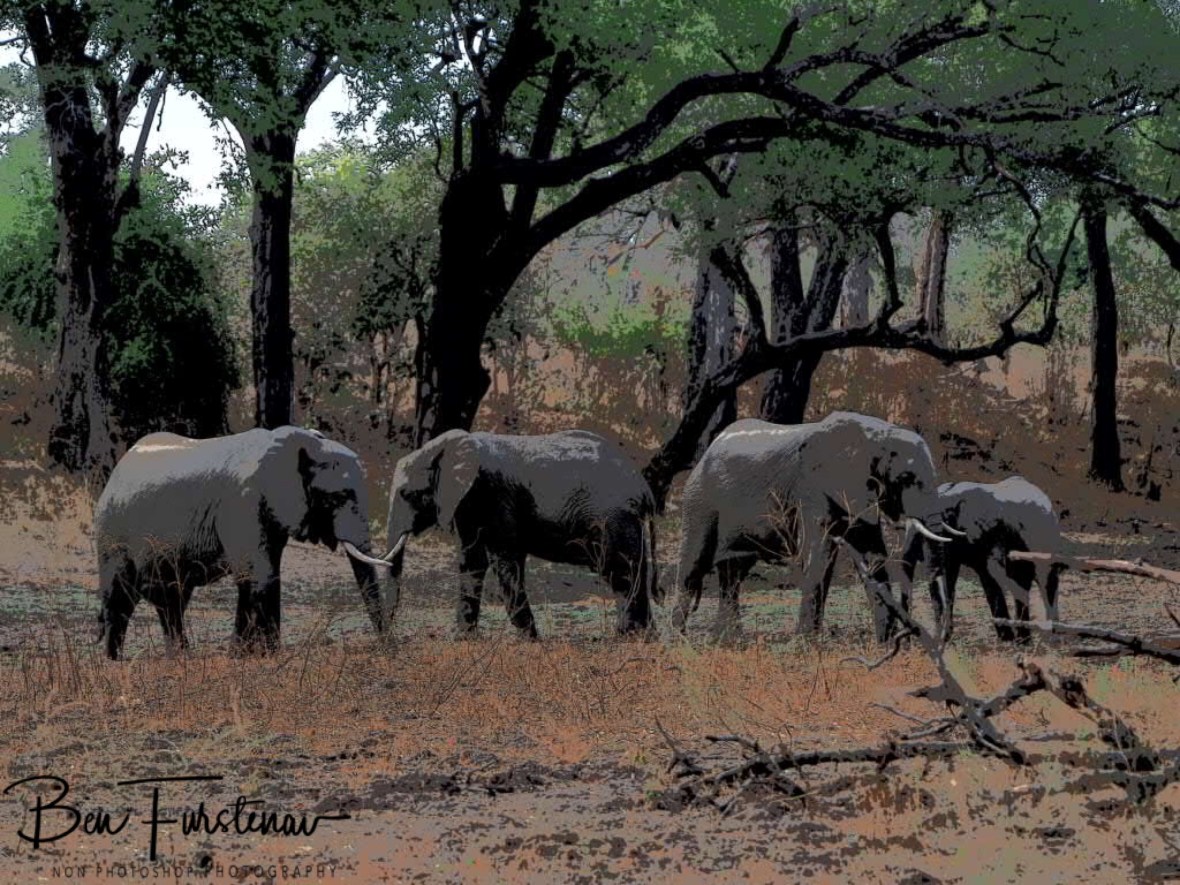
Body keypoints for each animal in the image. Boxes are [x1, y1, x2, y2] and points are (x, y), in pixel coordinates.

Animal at [94, 426, 396, 659]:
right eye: (338, 497)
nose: (384, 648)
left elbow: (259, 576)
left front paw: (248, 655)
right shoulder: (242, 503)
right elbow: (259, 575)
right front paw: (263, 656)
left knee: (171, 600)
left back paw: (180, 659)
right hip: (111, 533)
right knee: (120, 596)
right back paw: (114, 661)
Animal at [383, 429, 658, 638]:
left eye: (407, 494)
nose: (390, 638)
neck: (448, 446)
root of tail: (644, 488)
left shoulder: (494, 496)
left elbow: (504, 560)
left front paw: (531, 641)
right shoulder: (466, 503)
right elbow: (471, 562)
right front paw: (463, 640)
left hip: (613, 518)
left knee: (620, 573)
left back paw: (625, 637)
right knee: (635, 571)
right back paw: (645, 637)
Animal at [671, 411, 952, 641]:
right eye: (907, 478)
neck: (877, 434)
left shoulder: (857, 494)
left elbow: (870, 554)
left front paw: (884, 643)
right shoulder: (811, 489)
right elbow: (818, 555)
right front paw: (807, 645)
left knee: (733, 573)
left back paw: (728, 642)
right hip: (699, 501)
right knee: (694, 566)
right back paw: (680, 643)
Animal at [900, 476, 1064, 643]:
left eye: (947, 514)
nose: (908, 640)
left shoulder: (988, 532)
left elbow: (991, 574)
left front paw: (1006, 639)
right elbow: (951, 576)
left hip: (1047, 537)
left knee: (1045, 580)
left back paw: (1051, 637)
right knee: (1021, 583)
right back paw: (1024, 641)